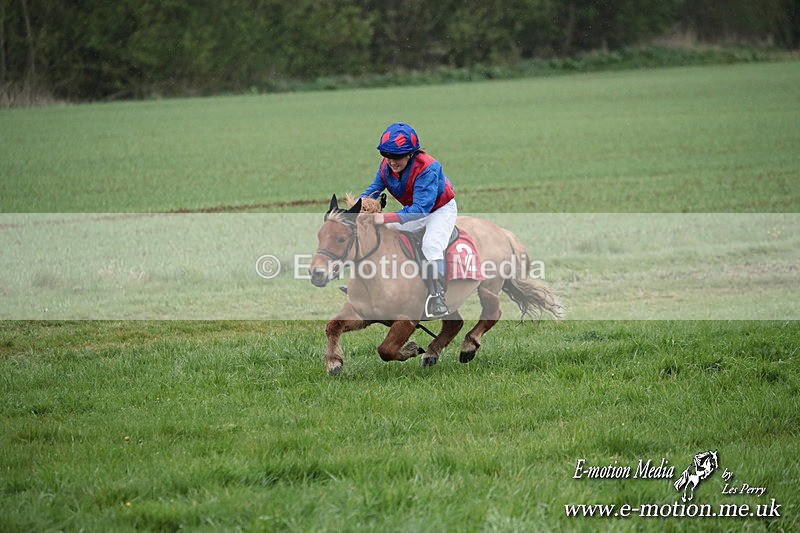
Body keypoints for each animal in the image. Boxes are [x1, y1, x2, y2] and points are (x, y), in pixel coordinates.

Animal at [309, 194, 564, 375]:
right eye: (319, 236)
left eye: (342, 238)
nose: (316, 274)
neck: (379, 274)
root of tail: (499, 230)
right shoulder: (362, 313)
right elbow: (332, 326)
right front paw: (334, 363)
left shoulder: (407, 320)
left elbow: (386, 349)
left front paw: (411, 349)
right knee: (454, 323)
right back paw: (432, 353)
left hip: (488, 287)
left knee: (492, 313)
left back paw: (467, 347)